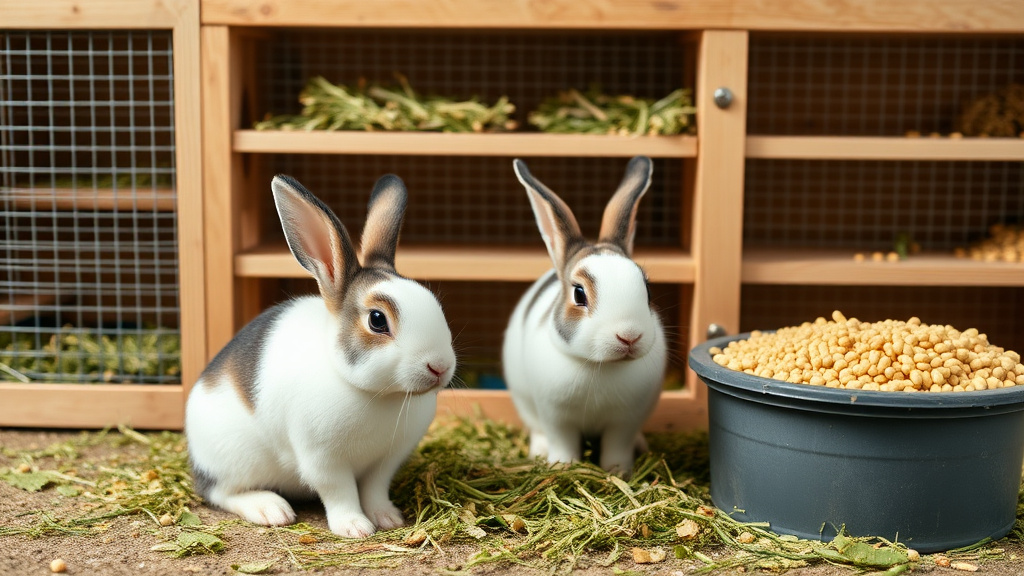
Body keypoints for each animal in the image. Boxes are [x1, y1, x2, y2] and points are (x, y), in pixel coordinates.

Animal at [185, 173, 456, 538]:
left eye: (433, 301)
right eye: (377, 320)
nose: (440, 366)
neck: (379, 395)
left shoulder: (386, 460)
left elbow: (374, 490)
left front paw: (388, 518)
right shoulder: (323, 460)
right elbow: (340, 492)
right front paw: (355, 527)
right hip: (233, 459)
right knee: (220, 492)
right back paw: (271, 509)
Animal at [502, 156, 668, 476]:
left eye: (648, 288)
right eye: (579, 294)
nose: (629, 336)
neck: (601, 367)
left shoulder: (624, 422)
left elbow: (617, 449)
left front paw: (619, 473)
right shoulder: (557, 417)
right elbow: (563, 443)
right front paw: (562, 466)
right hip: (525, 402)